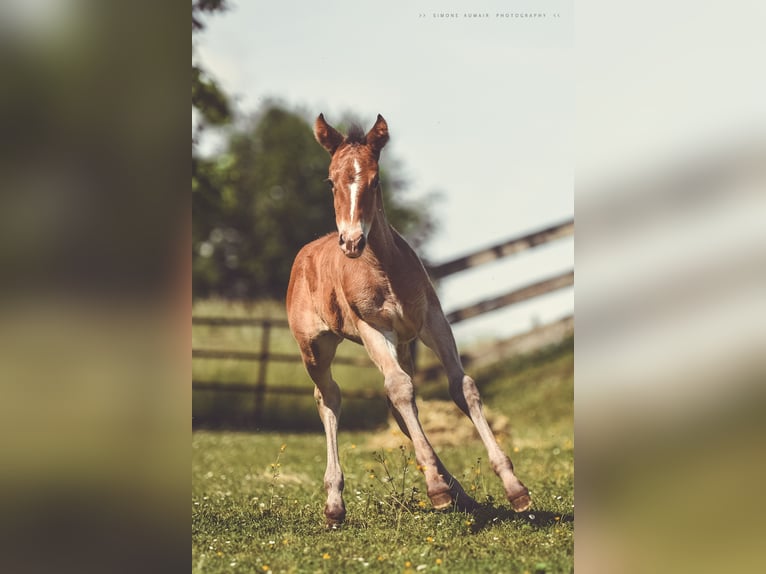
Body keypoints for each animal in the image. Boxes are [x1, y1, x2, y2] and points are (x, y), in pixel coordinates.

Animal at [284, 113, 532, 528]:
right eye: (331, 181)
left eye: (375, 180)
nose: (351, 242)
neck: (383, 268)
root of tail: (304, 253)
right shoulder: (372, 327)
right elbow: (400, 389)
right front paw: (435, 488)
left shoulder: (430, 320)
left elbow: (461, 387)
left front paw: (514, 488)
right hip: (314, 348)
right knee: (330, 396)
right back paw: (335, 503)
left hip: (402, 344)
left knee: (398, 405)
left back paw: (460, 492)